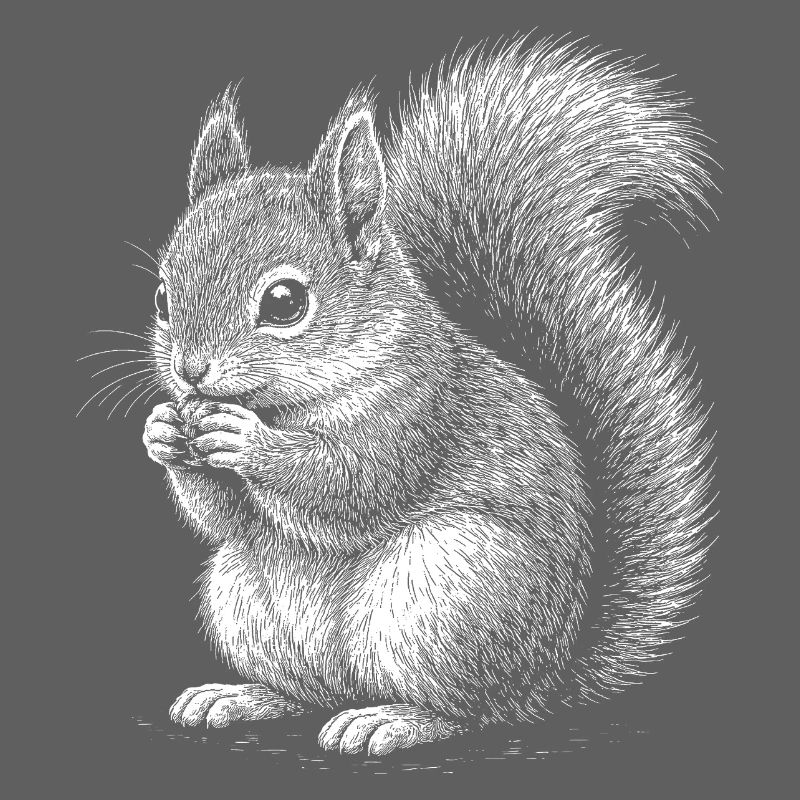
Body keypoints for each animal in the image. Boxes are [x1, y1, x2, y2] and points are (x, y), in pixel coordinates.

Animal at [141, 37, 715, 756]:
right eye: (163, 297)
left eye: (285, 302)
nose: (190, 372)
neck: (290, 401)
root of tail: (546, 682)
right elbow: (225, 519)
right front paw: (164, 431)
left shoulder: (418, 410)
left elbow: (349, 485)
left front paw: (248, 442)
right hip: (245, 600)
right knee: (310, 691)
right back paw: (243, 696)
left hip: (445, 594)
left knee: (470, 711)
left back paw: (392, 719)